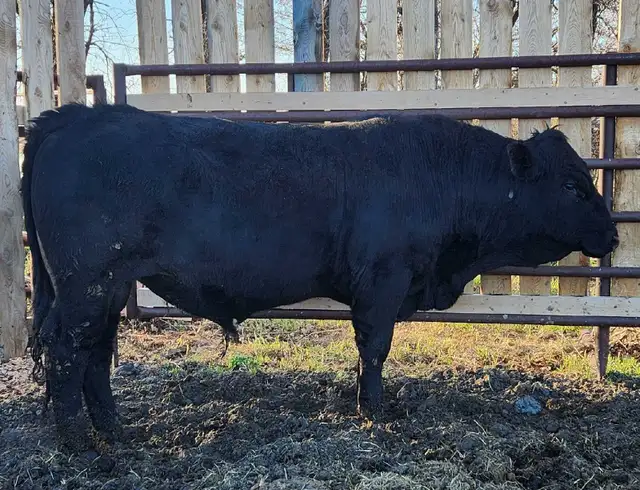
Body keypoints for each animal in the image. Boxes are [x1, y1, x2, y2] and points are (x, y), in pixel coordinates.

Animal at [22, 103, 618, 451]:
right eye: (571, 185)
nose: (614, 235)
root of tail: (75, 115)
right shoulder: (383, 282)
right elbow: (374, 347)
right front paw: (374, 410)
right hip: (87, 283)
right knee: (68, 349)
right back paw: (78, 442)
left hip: (108, 286)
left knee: (96, 350)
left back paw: (113, 429)